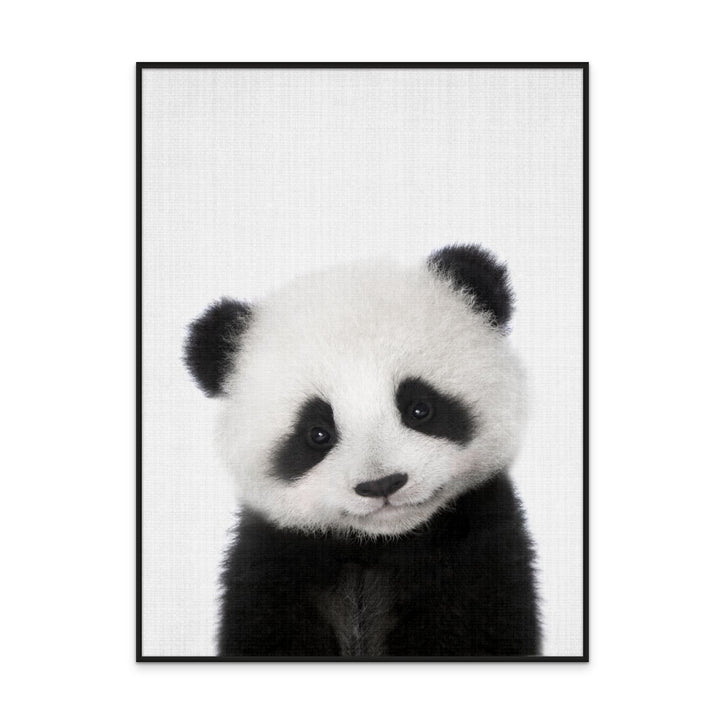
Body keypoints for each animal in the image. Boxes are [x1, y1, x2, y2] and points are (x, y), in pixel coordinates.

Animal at [184, 244, 540, 657]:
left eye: (420, 408)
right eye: (317, 433)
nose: (382, 484)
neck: (378, 546)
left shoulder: (477, 549)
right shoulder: (273, 563)